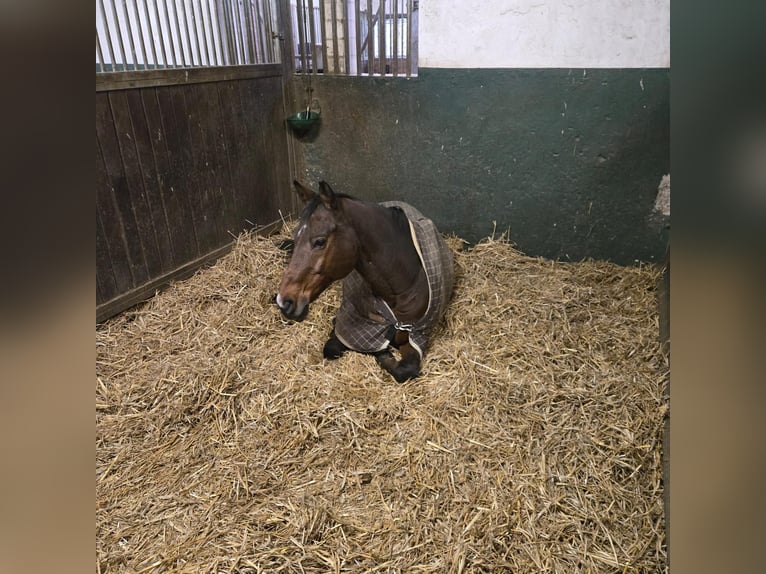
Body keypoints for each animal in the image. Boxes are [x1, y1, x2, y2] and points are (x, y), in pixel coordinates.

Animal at [275, 180, 455, 383]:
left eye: (320, 241)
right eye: (297, 236)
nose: (285, 302)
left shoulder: (417, 335)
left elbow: (405, 370)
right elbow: (333, 348)